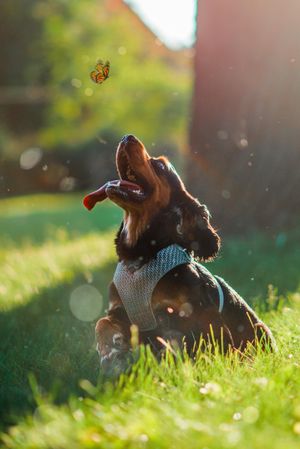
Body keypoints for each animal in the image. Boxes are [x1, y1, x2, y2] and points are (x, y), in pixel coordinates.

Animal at [83, 135, 276, 372]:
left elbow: (209, 341)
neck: (141, 258)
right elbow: (102, 323)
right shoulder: (120, 311)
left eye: (160, 166)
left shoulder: (198, 310)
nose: (127, 137)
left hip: (259, 330)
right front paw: (111, 352)